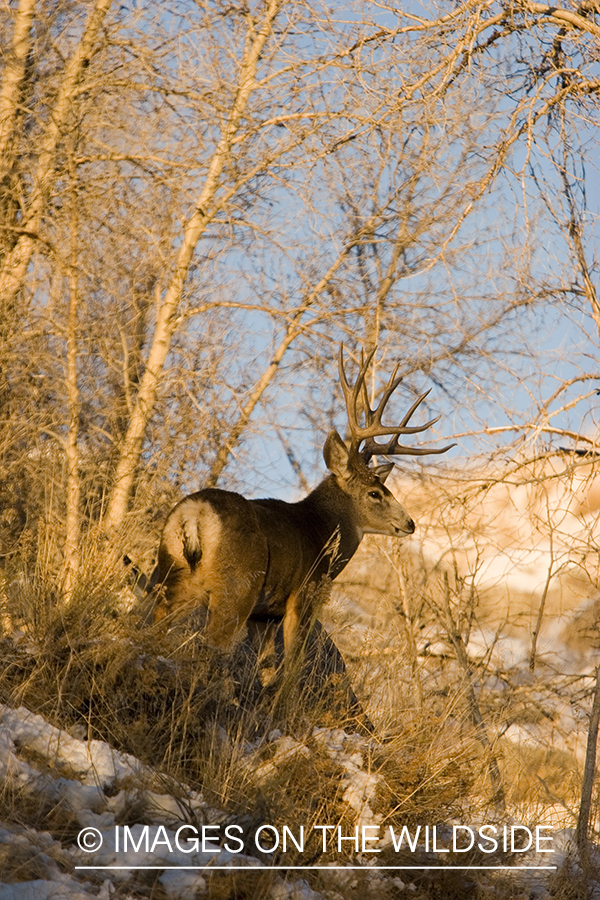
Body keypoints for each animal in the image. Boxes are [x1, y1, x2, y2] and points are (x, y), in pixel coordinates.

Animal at [150, 344, 454, 668]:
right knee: (212, 645)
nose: (410, 523)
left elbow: (265, 666)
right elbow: (292, 666)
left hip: (168, 577)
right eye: (375, 493)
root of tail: (195, 514)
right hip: (237, 587)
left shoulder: (265, 617)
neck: (320, 534)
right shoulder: (304, 596)